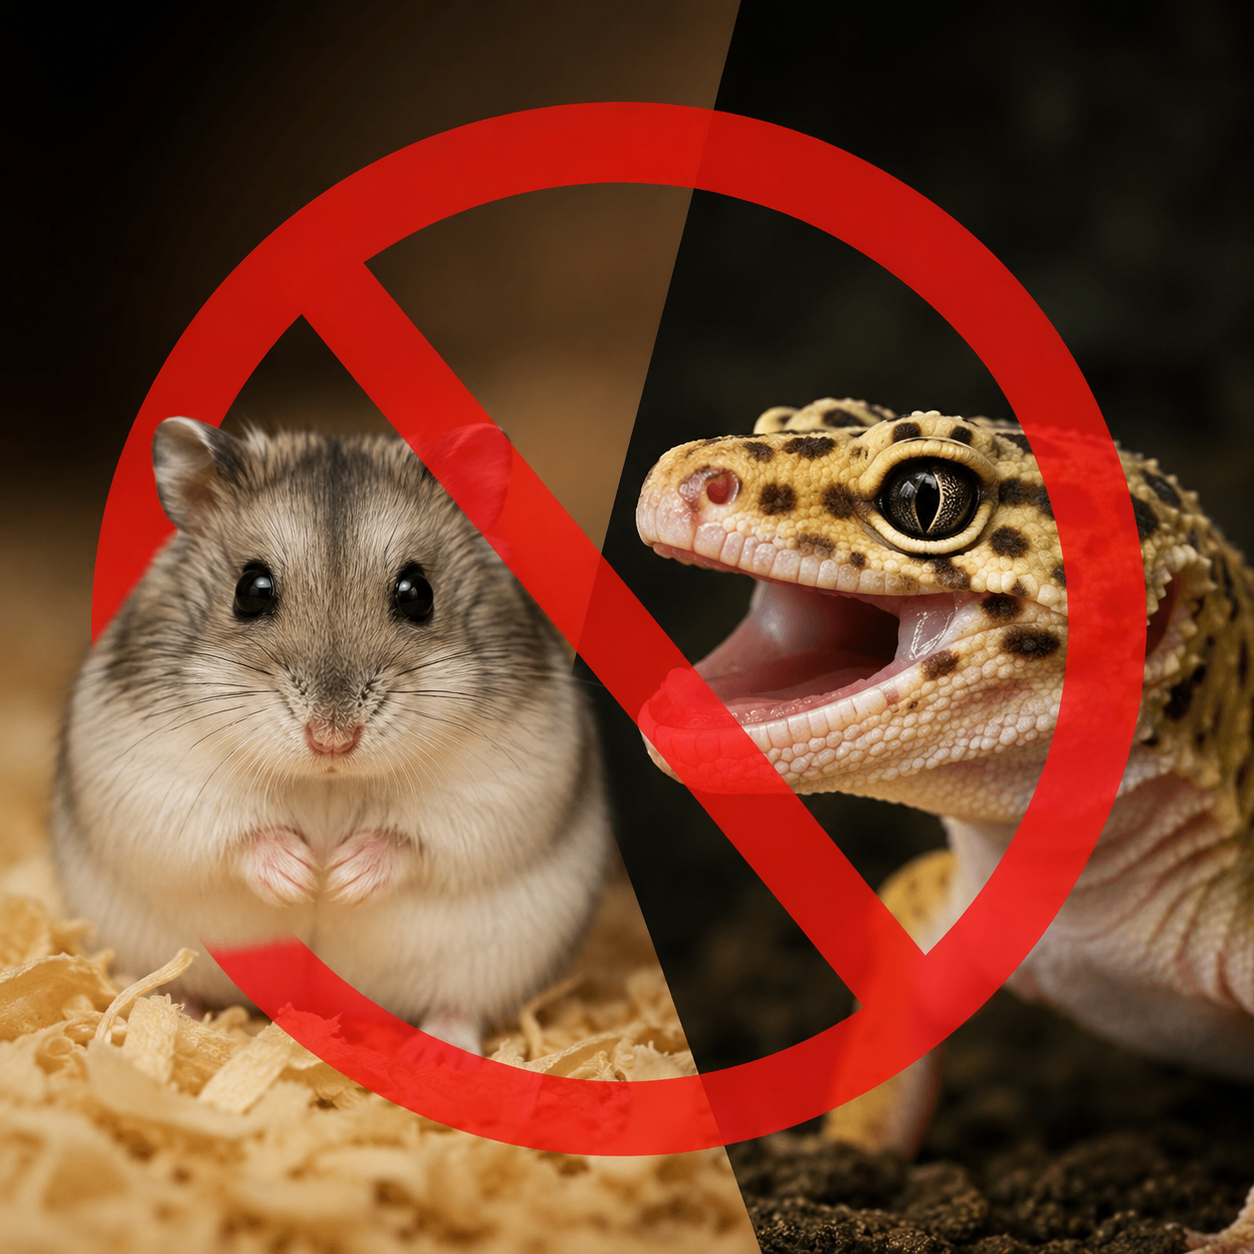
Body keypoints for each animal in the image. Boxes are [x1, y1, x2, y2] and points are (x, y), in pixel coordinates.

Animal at [52, 418, 612, 1054]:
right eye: (252, 588)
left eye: (417, 592)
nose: (332, 739)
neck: (327, 782)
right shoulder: (155, 781)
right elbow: (232, 838)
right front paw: (302, 876)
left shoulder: (502, 786)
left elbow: (415, 841)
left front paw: (340, 877)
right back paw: (180, 1019)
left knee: (459, 1006)